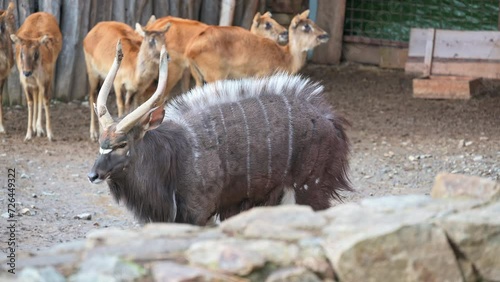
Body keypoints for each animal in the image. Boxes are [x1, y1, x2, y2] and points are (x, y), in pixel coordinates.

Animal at [10, 12, 62, 141]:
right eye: (21, 53)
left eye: (36, 53)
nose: (26, 72)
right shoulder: (25, 82)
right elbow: (30, 102)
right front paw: (28, 134)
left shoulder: (47, 78)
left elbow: (46, 100)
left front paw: (50, 134)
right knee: (36, 96)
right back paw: (35, 128)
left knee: (40, 97)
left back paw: (39, 129)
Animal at [87, 41, 352, 225]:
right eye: (101, 143)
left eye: (122, 144)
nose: (93, 175)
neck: (174, 155)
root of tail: (330, 120)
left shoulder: (198, 213)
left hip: (309, 189)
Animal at [186, 10, 330, 86]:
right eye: (306, 26)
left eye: (313, 22)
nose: (325, 35)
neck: (285, 56)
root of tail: (190, 50)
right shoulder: (262, 77)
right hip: (215, 78)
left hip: (198, 79)